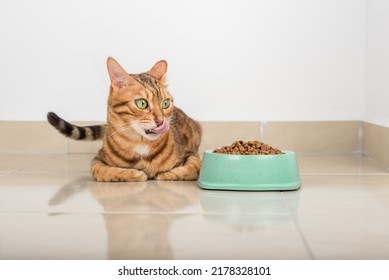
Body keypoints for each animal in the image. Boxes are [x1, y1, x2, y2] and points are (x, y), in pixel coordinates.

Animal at [47, 58, 202, 183]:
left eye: (165, 103)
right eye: (142, 103)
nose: (161, 121)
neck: (140, 143)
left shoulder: (190, 153)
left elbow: (194, 167)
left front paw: (166, 174)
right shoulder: (97, 160)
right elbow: (103, 171)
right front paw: (134, 174)